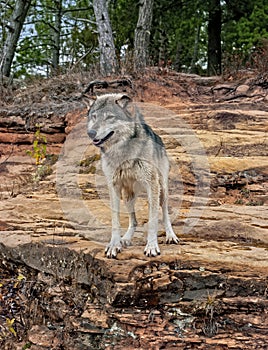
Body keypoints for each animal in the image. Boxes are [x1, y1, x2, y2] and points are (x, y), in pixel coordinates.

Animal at [87, 94, 179, 258]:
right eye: (94, 116)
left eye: (110, 117)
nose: (91, 133)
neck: (123, 153)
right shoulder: (113, 187)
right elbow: (115, 220)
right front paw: (114, 245)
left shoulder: (152, 185)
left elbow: (153, 221)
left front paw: (151, 246)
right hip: (128, 196)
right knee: (134, 220)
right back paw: (126, 238)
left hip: (161, 190)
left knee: (165, 214)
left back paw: (170, 236)